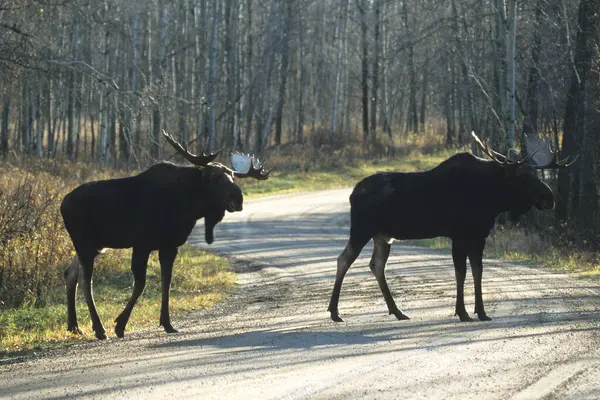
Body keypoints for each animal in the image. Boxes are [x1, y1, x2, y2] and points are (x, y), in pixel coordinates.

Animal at [61, 130, 270, 338]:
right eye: (214, 177)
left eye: (233, 177)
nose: (238, 198)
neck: (190, 207)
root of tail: (62, 204)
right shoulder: (142, 244)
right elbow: (141, 284)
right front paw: (120, 325)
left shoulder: (170, 246)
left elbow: (166, 282)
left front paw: (167, 323)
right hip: (85, 245)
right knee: (86, 281)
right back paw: (98, 328)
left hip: (93, 246)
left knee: (70, 273)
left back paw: (74, 325)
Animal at [328, 133, 576, 324]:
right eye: (524, 176)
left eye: (537, 173)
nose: (549, 198)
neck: (492, 199)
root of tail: (352, 193)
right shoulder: (459, 235)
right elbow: (461, 273)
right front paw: (463, 312)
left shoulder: (479, 235)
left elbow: (477, 271)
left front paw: (482, 312)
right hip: (361, 229)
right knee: (344, 259)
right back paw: (334, 312)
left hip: (383, 236)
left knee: (376, 265)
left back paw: (397, 311)